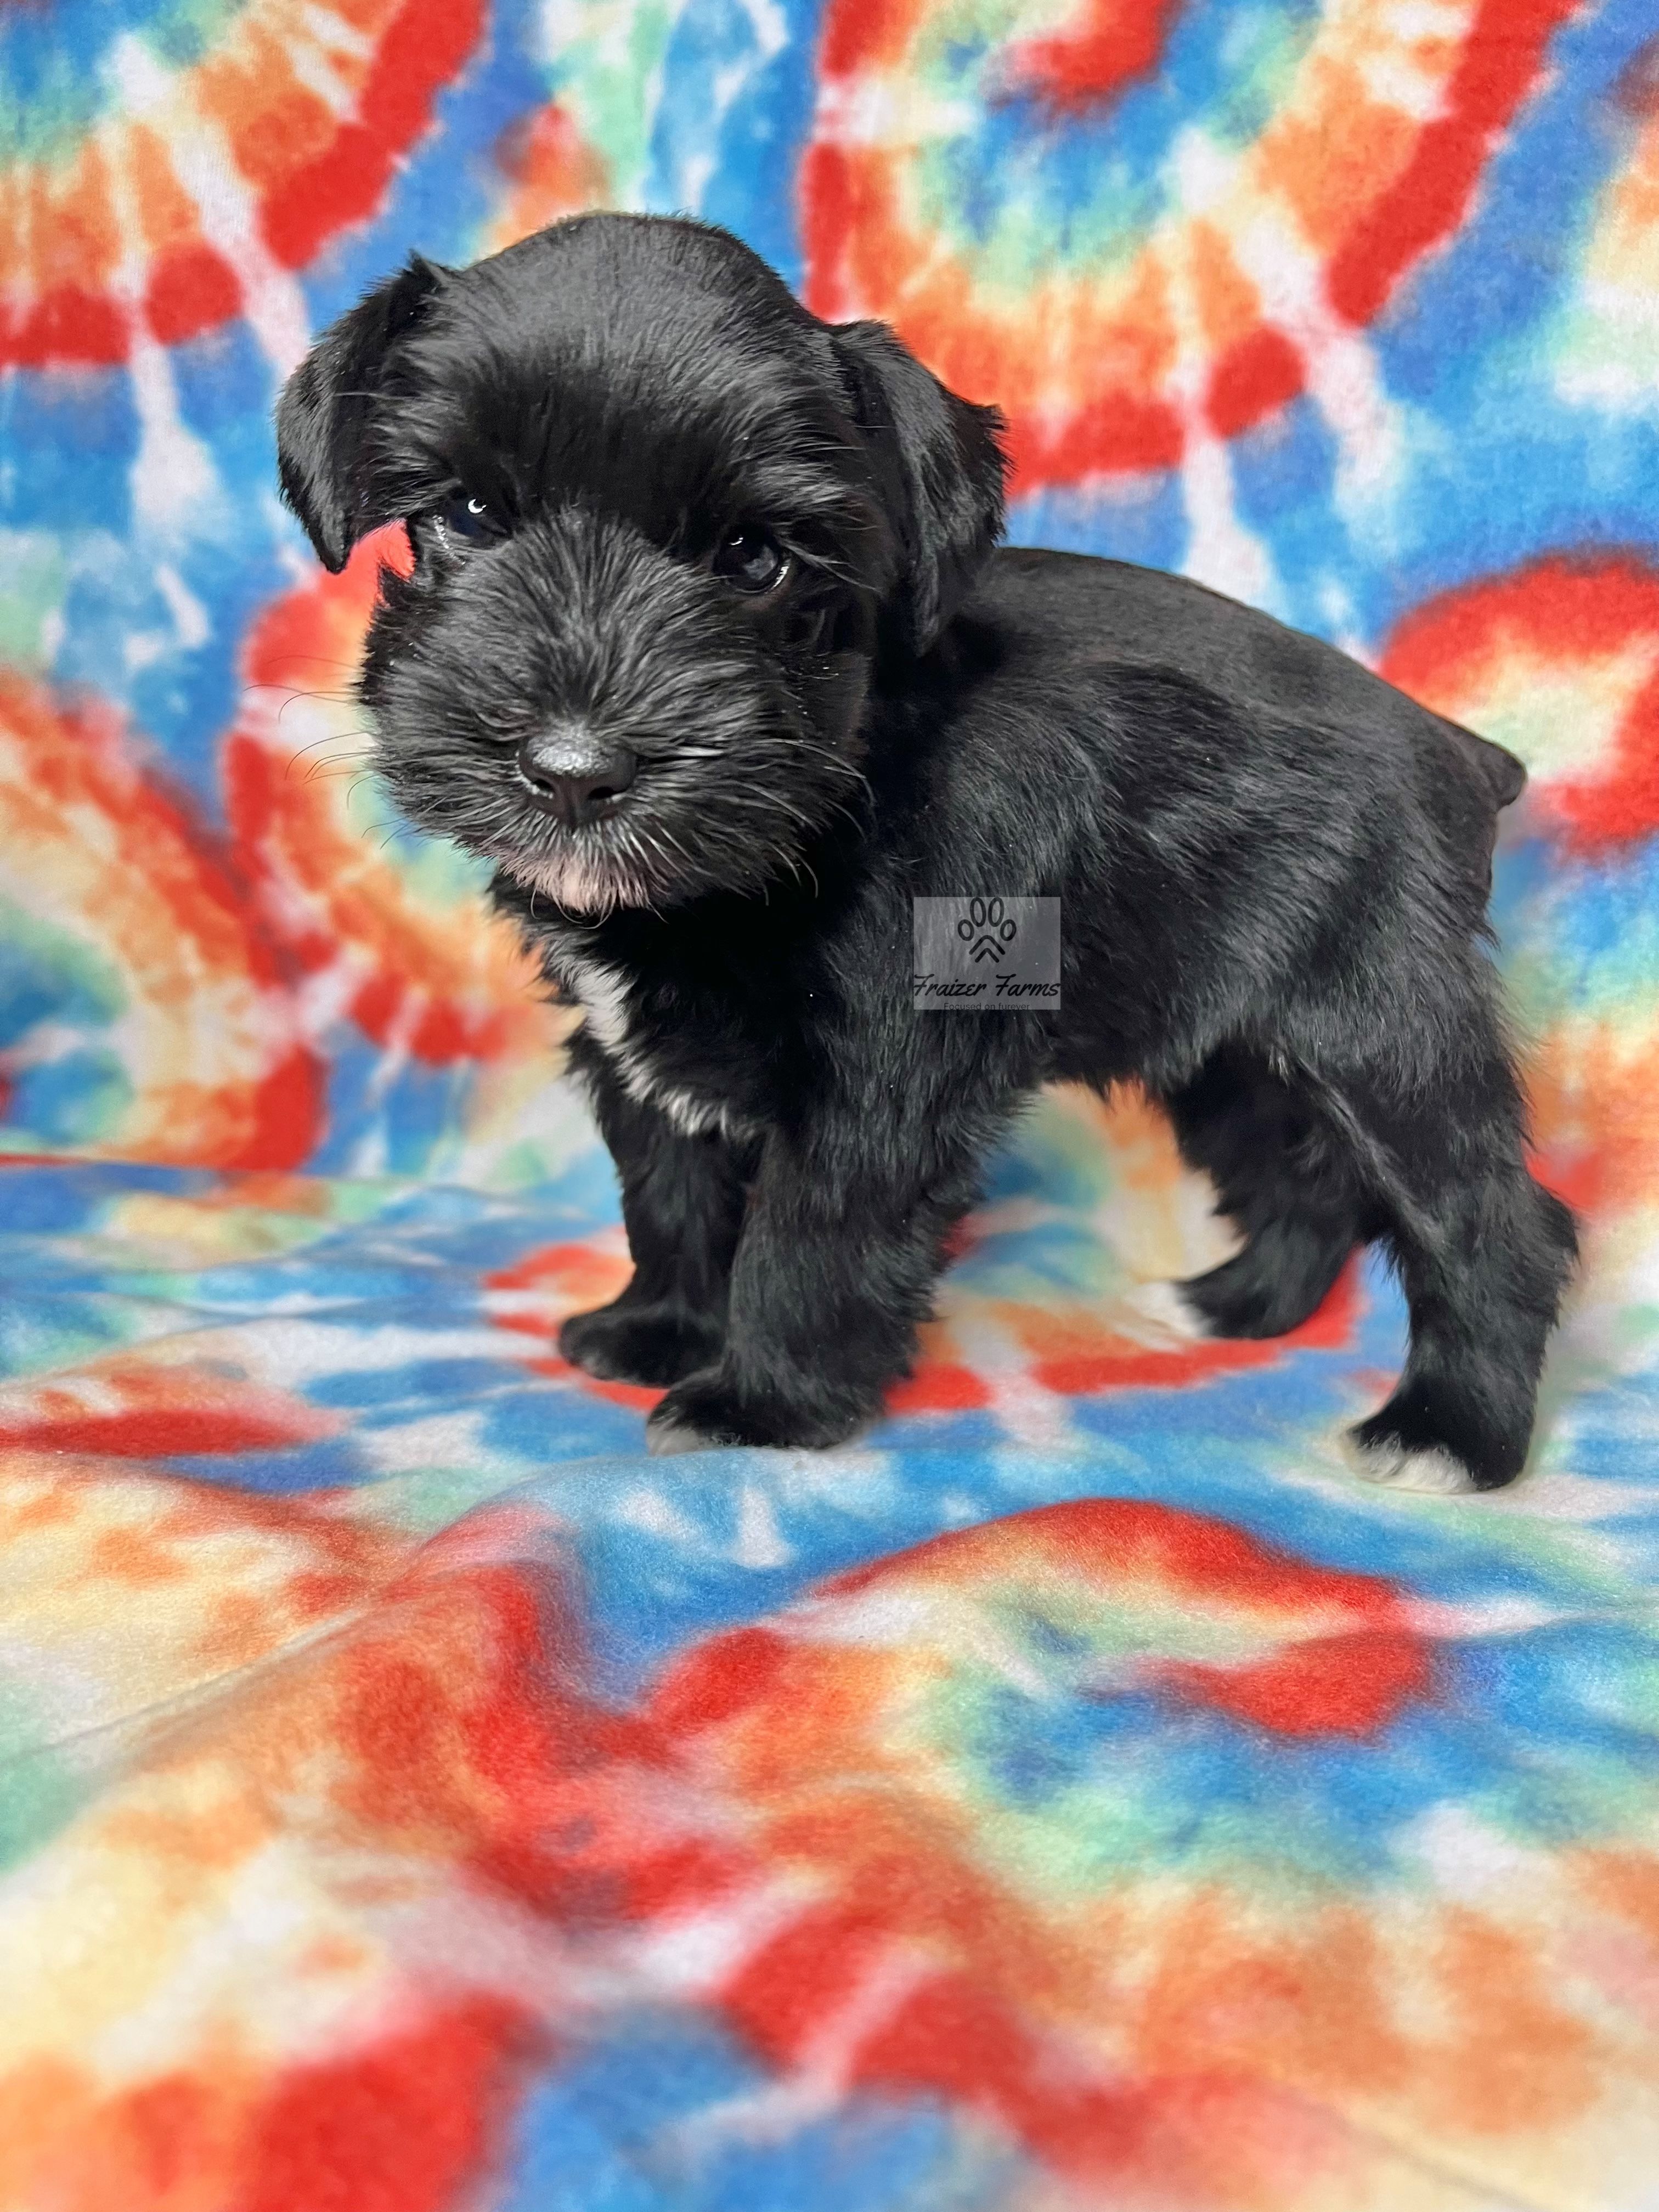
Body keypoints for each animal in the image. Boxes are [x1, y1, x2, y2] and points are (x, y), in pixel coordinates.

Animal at [276, 212, 1576, 1488]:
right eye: (464, 517)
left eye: (756, 557)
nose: (573, 768)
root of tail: (1461, 753)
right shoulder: (639, 1054)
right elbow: (670, 1189)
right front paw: (661, 1329)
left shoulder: (877, 1086)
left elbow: (808, 1242)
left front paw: (759, 1404)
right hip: (1227, 1043)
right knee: (1297, 1172)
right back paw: (1233, 1305)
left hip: (1385, 1031)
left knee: (1487, 1216)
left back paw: (1451, 1430)